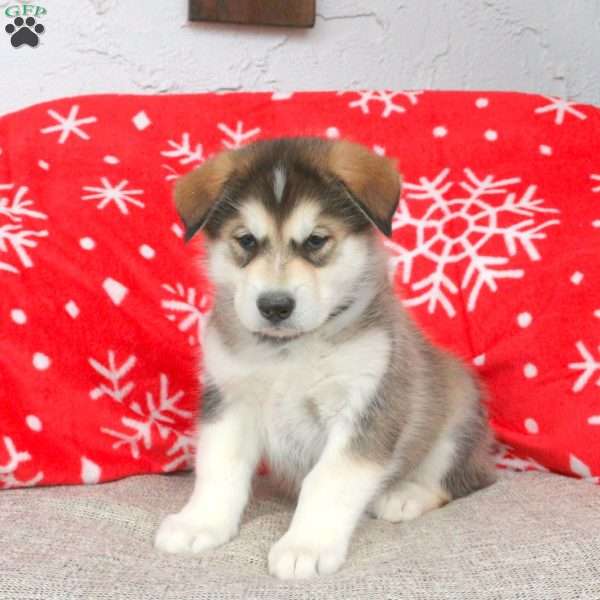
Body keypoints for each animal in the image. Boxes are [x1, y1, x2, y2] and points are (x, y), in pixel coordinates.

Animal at [156, 138, 496, 580]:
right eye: (246, 240)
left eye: (316, 240)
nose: (275, 306)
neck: (288, 352)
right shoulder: (229, 401)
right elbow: (218, 467)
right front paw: (200, 523)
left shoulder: (365, 406)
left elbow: (329, 481)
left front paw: (306, 546)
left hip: (457, 418)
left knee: (455, 480)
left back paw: (404, 495)